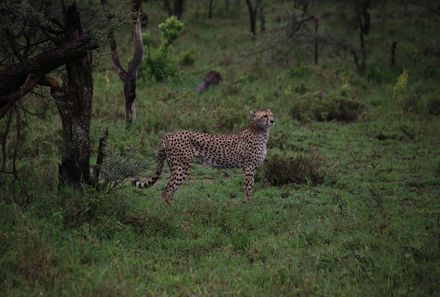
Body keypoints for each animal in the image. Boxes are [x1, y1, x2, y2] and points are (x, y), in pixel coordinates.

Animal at [132, 110, 274, 202]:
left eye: (272, 114)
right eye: (265, 116)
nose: (272, 121)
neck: (261, 131)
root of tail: (170, 134)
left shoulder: (251, 168)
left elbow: (248, 188)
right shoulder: (249, 167)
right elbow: (249, 188)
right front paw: (248, 208)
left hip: (174, 166)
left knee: (170, 190)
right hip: (181, 167)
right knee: (167, 191)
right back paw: (173, 214)